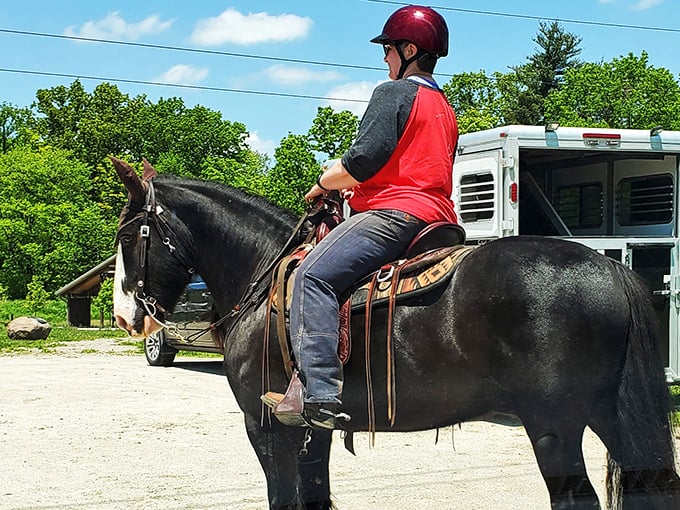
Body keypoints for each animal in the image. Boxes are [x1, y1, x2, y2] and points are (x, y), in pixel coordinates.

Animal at [111, 157, 680, 508]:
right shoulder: (310, 433)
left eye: (127, 234)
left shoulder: (266, 425)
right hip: (608, 415)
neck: (265, 270)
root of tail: (607, 268)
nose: (125, 316)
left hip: (554, 428)